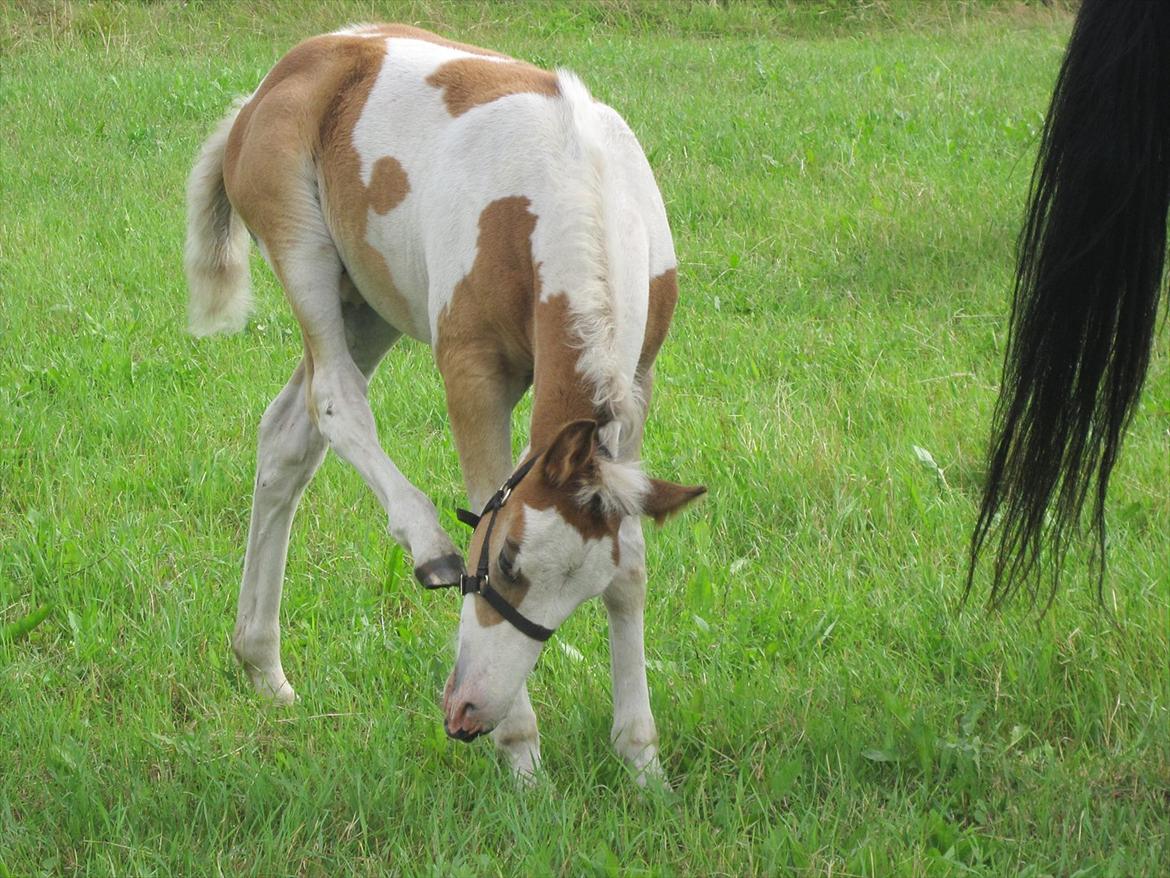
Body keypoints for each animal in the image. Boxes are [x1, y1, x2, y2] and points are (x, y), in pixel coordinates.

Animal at [187, 25, 702, 782]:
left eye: (581, 591)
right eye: (508, 564)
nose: (468, 716)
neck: (577, 194)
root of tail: (268, 84)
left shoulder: (636, 389)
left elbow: (632, 564)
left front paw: (643, 766)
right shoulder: (473, 375)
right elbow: (485, 501)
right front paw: (524, 762)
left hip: (368, 305)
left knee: (287, 436)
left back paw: (262, 669)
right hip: (304, 255)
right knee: (335, 401)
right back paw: (428, 546)